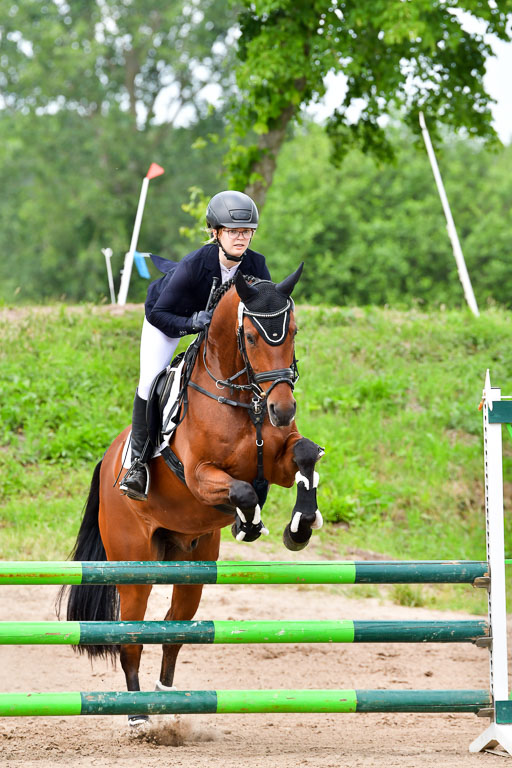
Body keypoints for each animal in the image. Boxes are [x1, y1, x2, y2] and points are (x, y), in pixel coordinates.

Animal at [60, 263, 324, 726]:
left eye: (292, 330)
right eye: (251, 337)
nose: (283, 409)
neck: (244, 398)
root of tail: (106, 462)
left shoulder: (279, 461)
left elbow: (305, 454)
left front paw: (300, 527)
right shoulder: (202, 476)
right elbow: (242, 490)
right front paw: (248, 524)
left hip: (192, 566)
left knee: (173, 630)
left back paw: (168, 705)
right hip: (135, 565)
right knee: (131, 636)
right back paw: (139, 718)